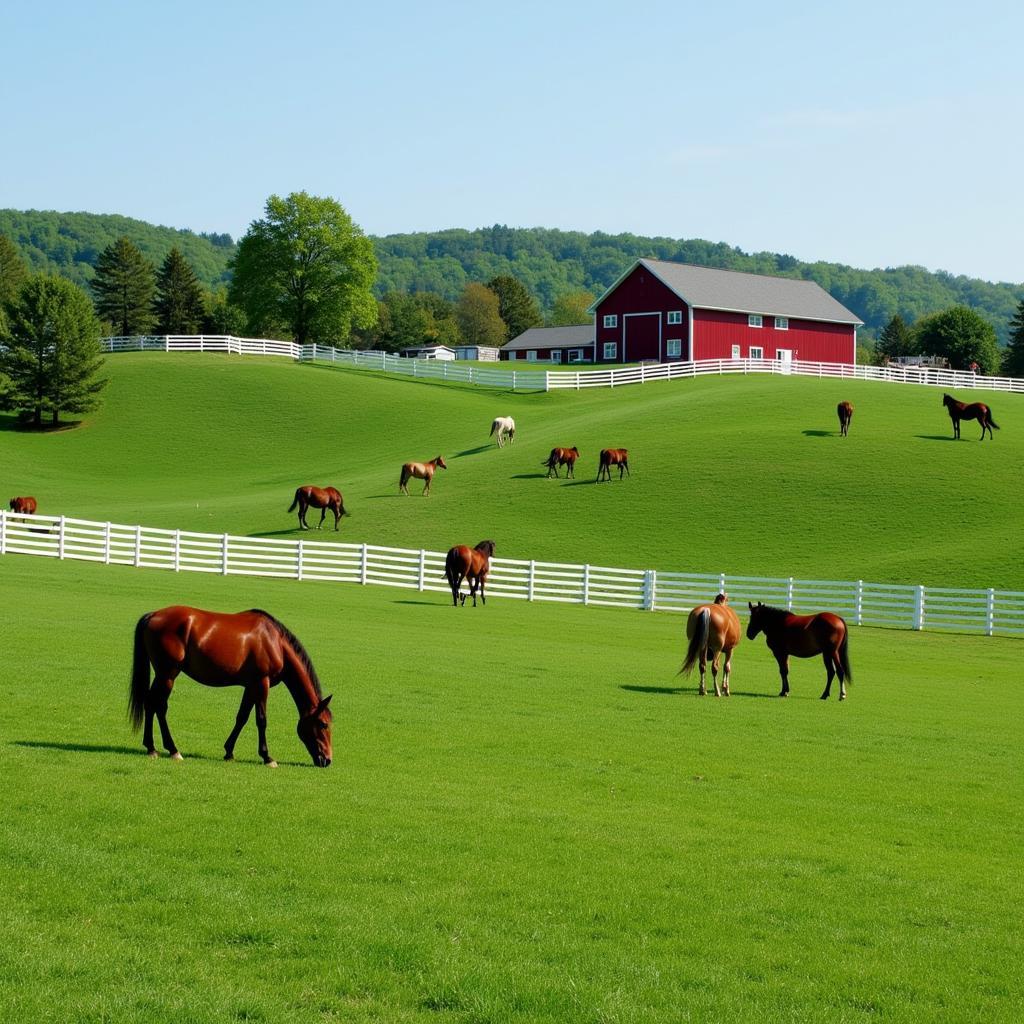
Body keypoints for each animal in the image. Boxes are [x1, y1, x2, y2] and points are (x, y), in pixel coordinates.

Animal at [128, 602, 333, 765]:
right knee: (158, 705)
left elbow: (242, 717)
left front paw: (229, 752)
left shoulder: (251, 686)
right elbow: (261, 719)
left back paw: (152, 747)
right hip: (168, 674)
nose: (327, 760)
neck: (274, 642)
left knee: (151, 704)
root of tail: (153, 615)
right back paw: (170, 749)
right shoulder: (262, 683)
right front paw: (267, 757)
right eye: (323, 724)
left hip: (163, 675)